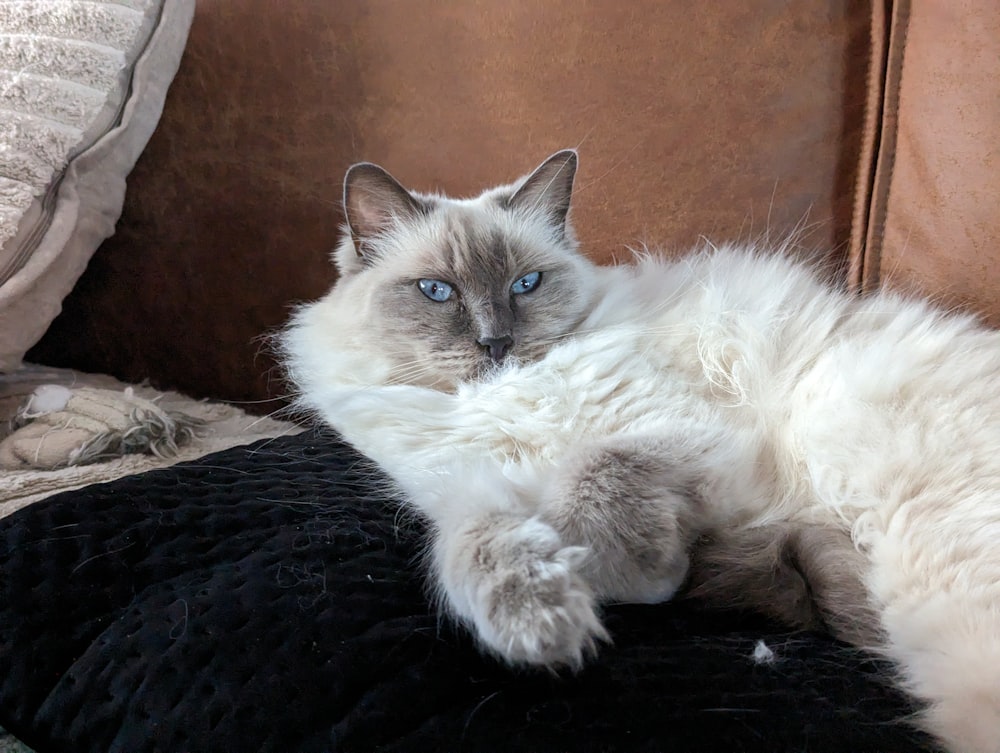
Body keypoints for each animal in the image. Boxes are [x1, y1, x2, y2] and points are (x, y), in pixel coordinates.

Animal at [280, 148, 1000, 752]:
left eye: (525, 284)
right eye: (438, 291)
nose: (495, 343)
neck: (499, 398)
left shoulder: (682, 434)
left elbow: (597, 471)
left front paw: (619, 576)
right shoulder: (465, 486)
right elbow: (474, 548)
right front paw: (540, 623)